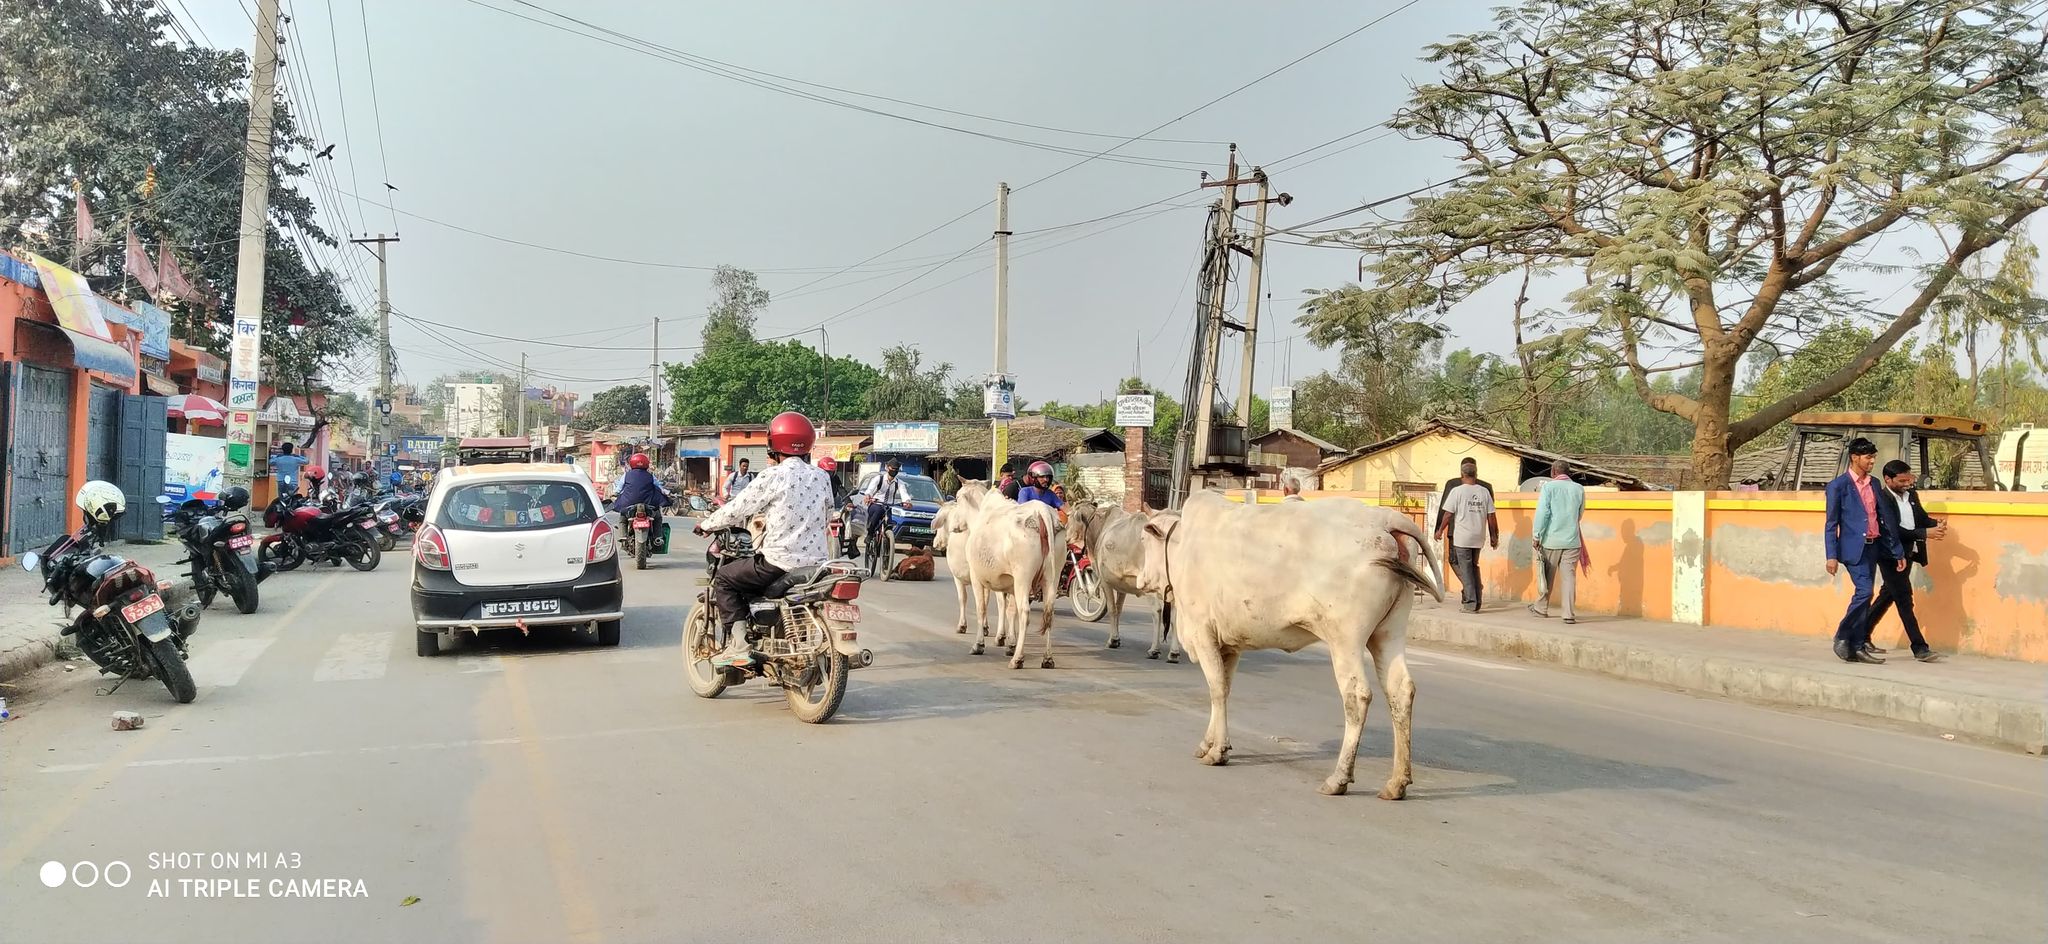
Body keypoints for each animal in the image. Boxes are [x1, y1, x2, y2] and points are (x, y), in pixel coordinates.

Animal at [950, 479, 1064, 671]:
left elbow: (982, 608)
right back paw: (1047, 659)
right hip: (1052, 577)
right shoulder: (1009, 583)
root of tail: (1040, 511)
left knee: (1025, 612)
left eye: (957, 498)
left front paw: (979, 645)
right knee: (1049, 613)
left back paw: (1018, 659)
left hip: (1023, 577)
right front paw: (1010, 643)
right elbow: (1011, 610)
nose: (953, 527)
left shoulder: (977, 576)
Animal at [1064, 499, 1179, 663]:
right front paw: (1117, 638)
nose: (1066, 537)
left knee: (1157, 611)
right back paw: (1174, 653)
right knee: (1176, 616)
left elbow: (1112, 609)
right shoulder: (1122, 584)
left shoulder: (1105, 581)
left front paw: (1112, 640)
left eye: (1070, 517)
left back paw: (1154, 650)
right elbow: (1119, 609)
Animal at [1130, 493, 1449, 794]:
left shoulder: (1203, 634)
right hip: (1388, 633)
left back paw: (1339, 778)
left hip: (1345, 638)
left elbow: (1217, 690)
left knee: (1357, 696)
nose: (1141, 581)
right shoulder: (1229, 644)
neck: (1183, 546)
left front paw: (1217, 751)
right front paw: (1210, 743)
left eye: (1145, 540)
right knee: (1401, 691)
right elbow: (1224, 690)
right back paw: (1397, 782)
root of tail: (1384, 519)